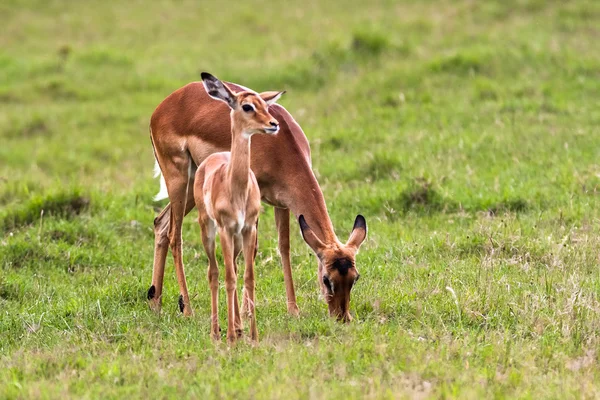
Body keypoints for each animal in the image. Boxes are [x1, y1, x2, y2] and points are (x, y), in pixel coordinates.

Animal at [195, 72, 284, 344]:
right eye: (247, 106)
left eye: (265, 105)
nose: (274, 124)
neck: (236, 188)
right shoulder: (225, 229)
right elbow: (229, 278)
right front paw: (231, 337)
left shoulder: (248, 229)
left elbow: (248, 277)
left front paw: (253, 335)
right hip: (208, 230)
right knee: (214, 273)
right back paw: (217, 331)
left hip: (235, 239)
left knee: (232, 268)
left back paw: (237, 326)